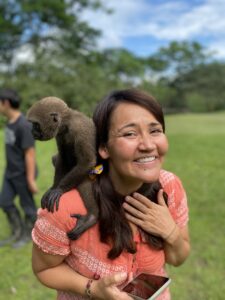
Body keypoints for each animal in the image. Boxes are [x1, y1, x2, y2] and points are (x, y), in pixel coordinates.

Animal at [27, 97, 98, 240]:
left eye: (36, 125)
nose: (32, 131)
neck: (67, 123)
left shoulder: (79, 130)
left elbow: (87, 161)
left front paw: (59, 189)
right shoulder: (59, 135)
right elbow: (62, 158)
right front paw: (54, 188)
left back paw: (92, 216)